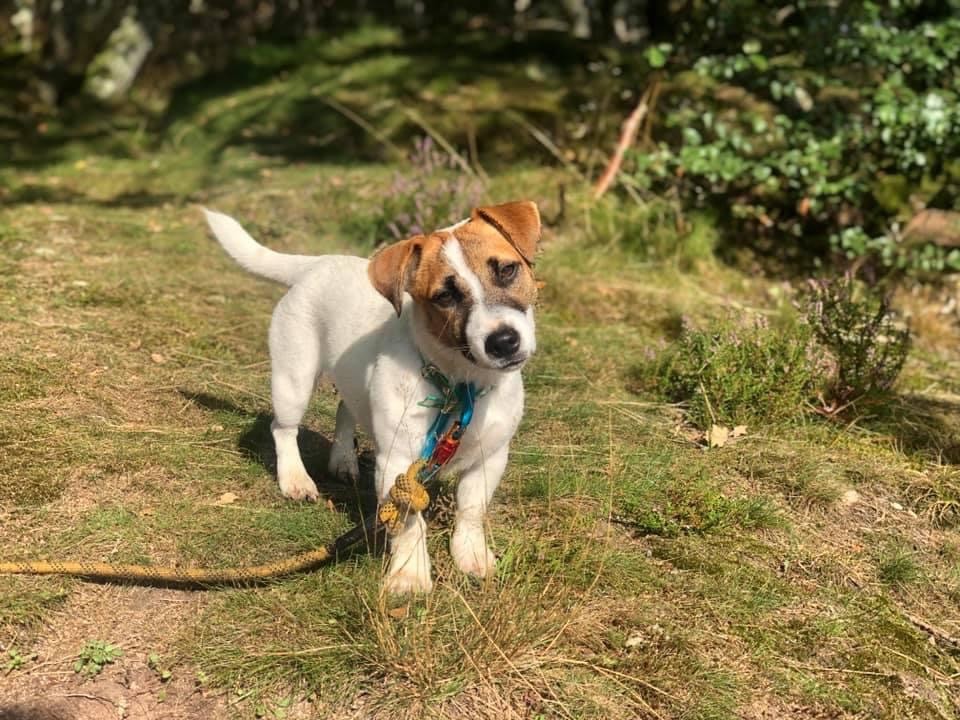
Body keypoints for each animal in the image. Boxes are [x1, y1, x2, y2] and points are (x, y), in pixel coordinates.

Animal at [203, 201, 540, 593]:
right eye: (445, 297)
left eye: (507, 269)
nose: (504, 342)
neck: (461, 386)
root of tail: (316, 263)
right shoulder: (398, 463)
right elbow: (410, 523)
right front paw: (409, 575)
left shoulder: (490, 457)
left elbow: (471, 509)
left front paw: (471, 555)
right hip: (293, 379)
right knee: (283, 429)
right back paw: (296, 479)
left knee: (344, 407)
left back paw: (343, 460)